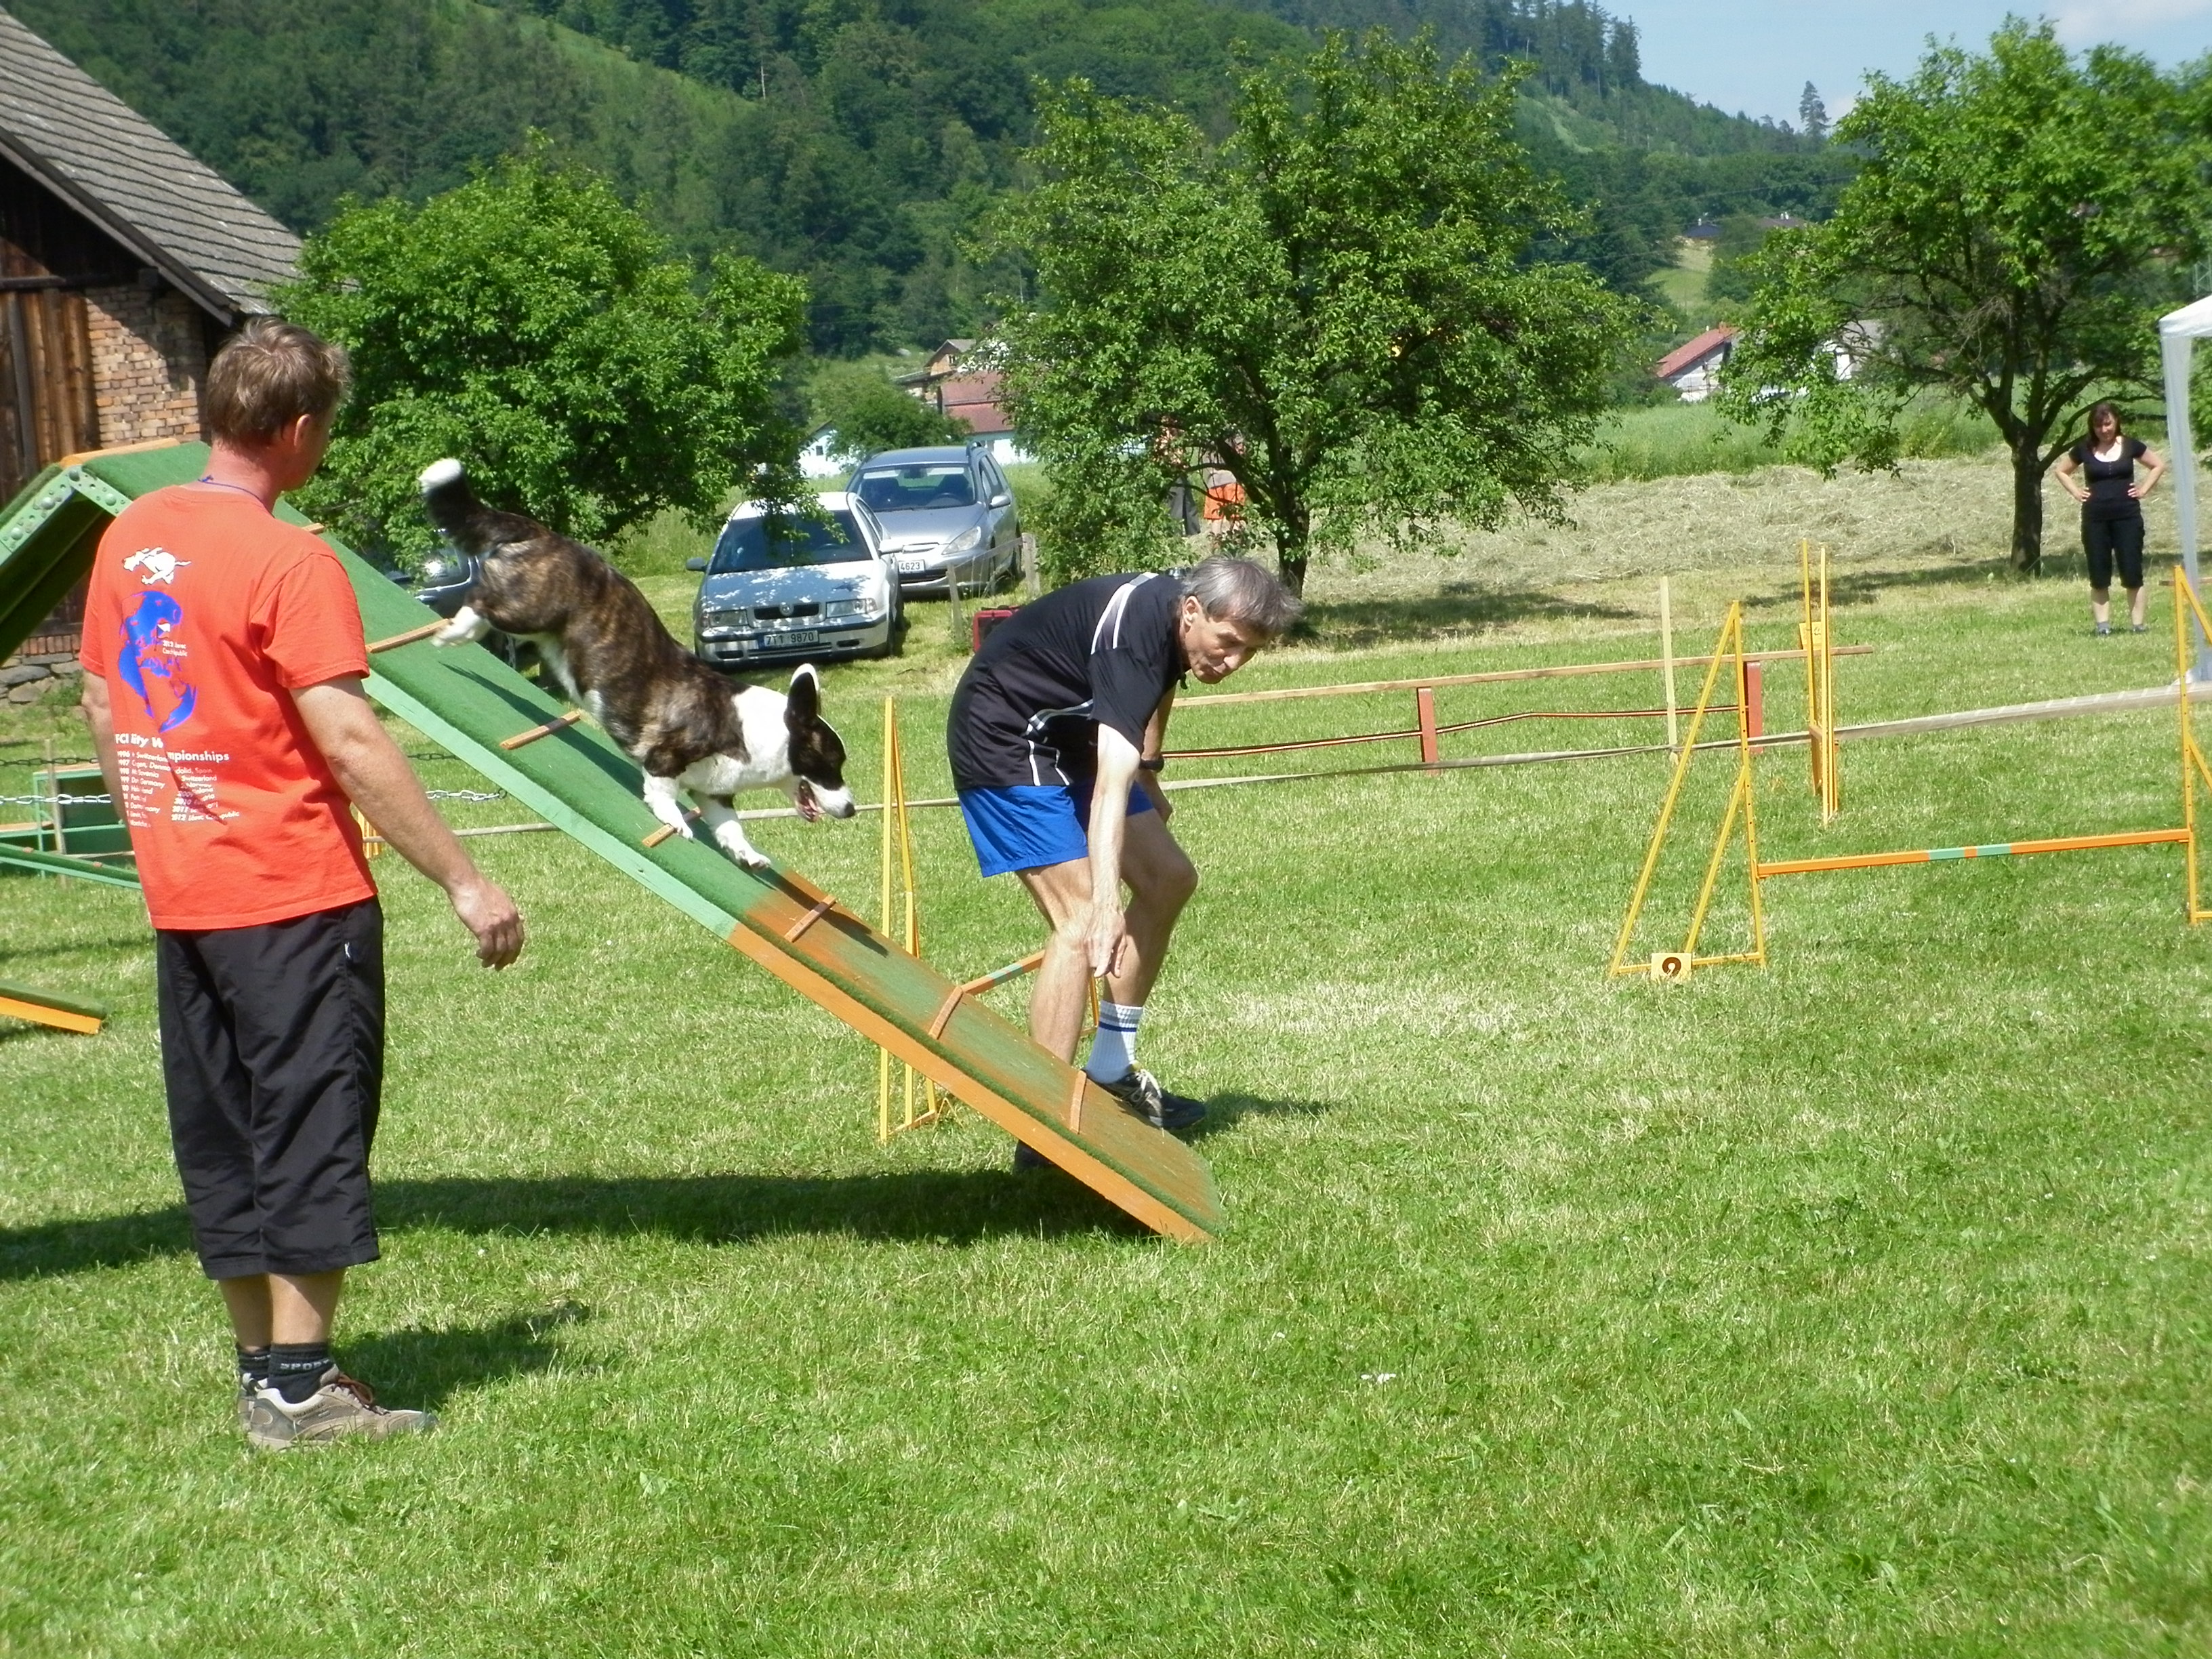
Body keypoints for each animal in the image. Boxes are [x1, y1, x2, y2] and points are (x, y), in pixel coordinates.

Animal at [415, 457, 853, 872]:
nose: (851, 809)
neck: (760, 733)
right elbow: (662, 794)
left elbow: (731, 827)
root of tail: (545, 534)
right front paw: (675, 822)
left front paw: (749, 857)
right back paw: (453, 631)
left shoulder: (714, 793)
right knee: (481, 602)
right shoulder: (664, 760)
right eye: (830, 764)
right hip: (531, 611)